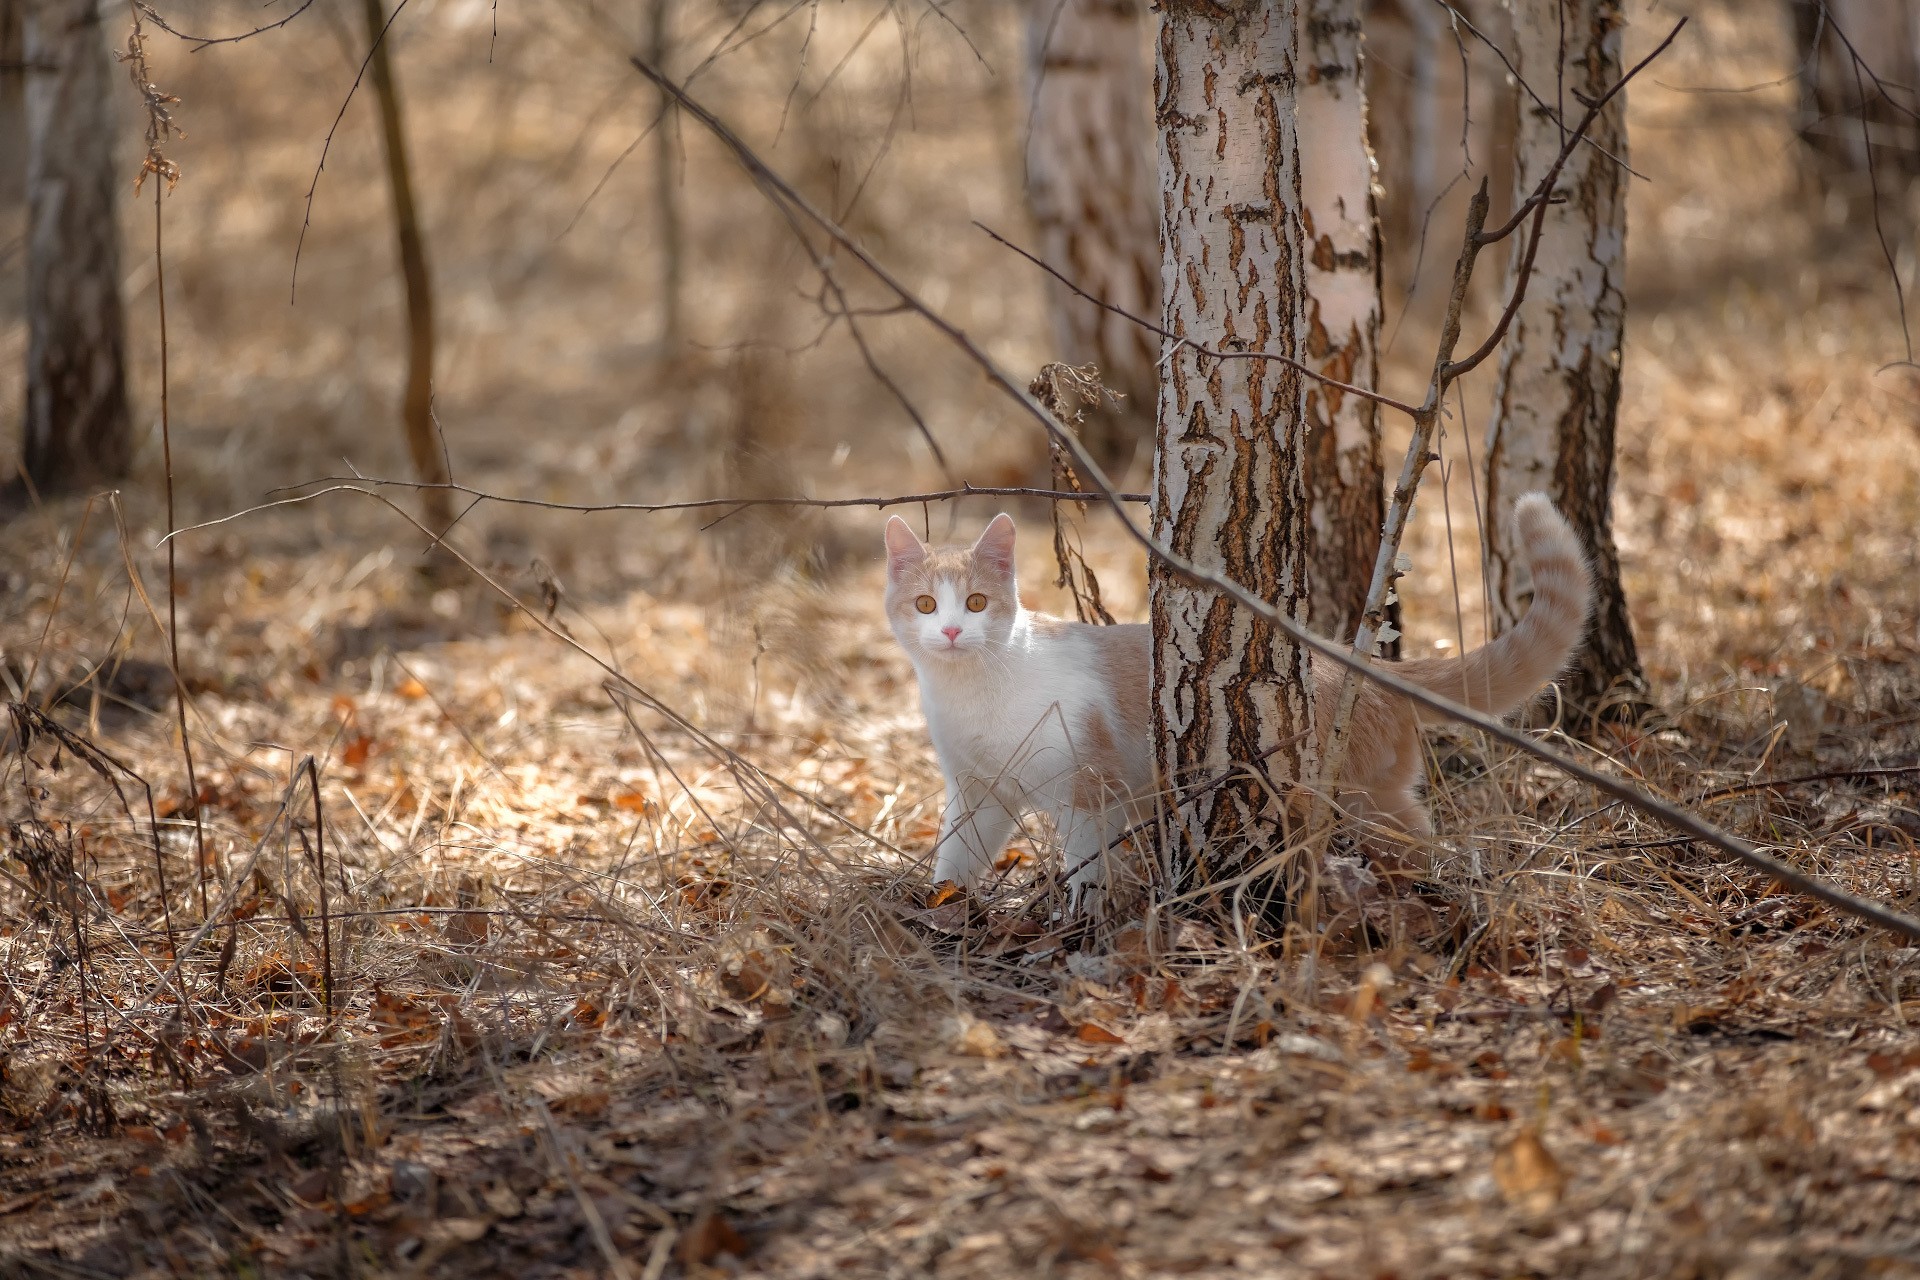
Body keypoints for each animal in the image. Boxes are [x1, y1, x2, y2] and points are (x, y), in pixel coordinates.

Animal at [883, 495, 1589, 909]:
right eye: (926, 604)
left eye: (977, 602)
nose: (952, 631)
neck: (976, 691)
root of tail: (1348, 658)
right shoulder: (978, 792)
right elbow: (958, 852)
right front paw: (941, 906)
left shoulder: (1092, 792)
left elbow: (1088, 863)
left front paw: (1083, 918)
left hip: (1351, 795)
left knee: (1415, 837)